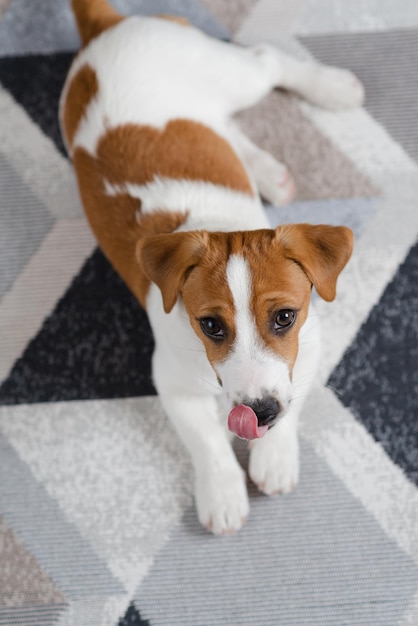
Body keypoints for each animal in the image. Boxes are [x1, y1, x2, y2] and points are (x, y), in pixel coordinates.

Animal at [60, 0, 360, 532]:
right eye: (211, 326)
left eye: (285, 317)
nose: (260, 412)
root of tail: (105, 26)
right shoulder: (172, 382)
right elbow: (204, 440)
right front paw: (221, 492)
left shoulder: (310, 344)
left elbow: (295, 398)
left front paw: (275, 457)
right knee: (232, 119)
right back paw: (271, 173)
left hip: (231, 75)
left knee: (267, 61)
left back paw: (333, 89)